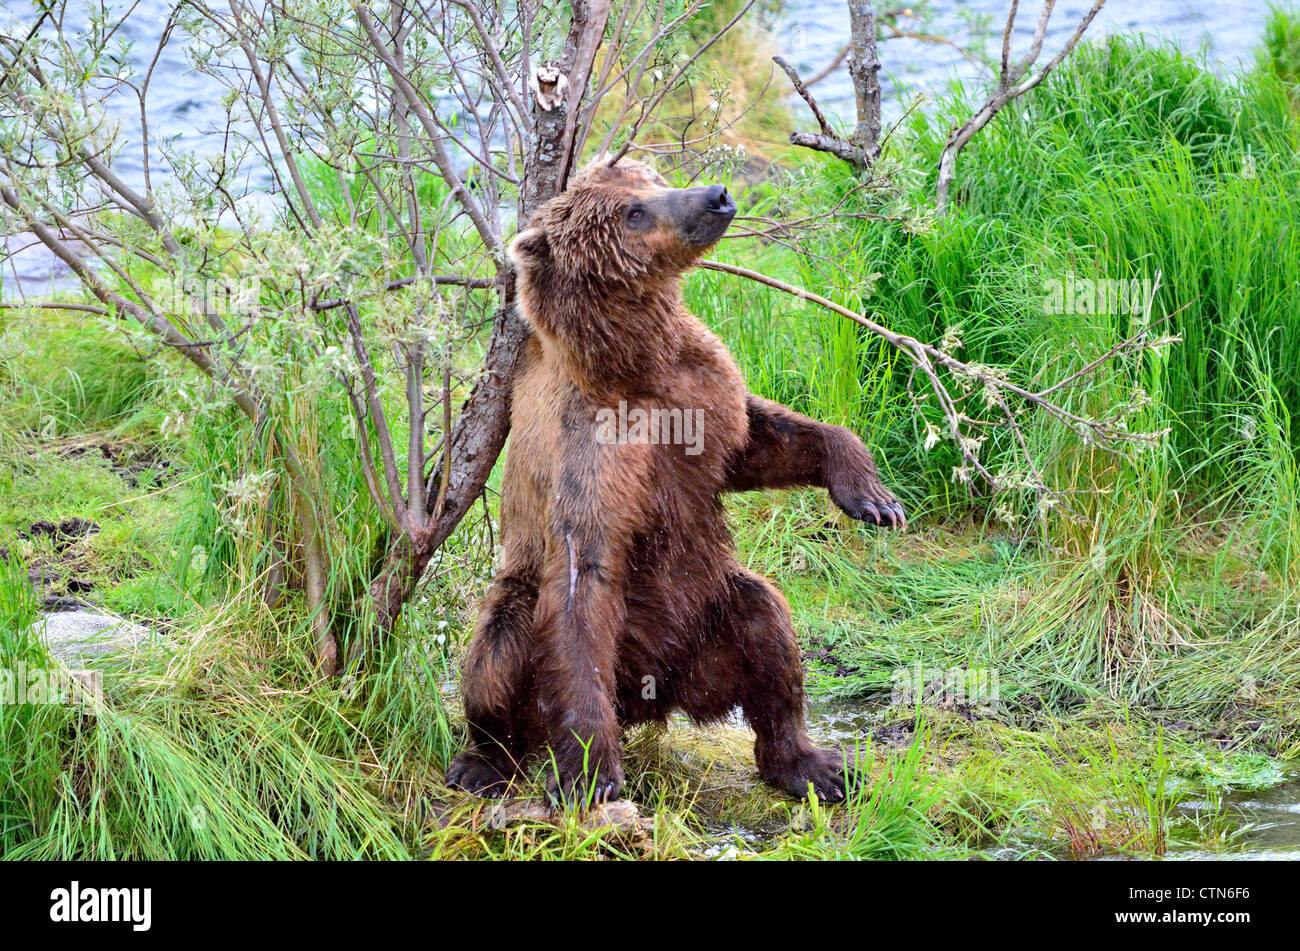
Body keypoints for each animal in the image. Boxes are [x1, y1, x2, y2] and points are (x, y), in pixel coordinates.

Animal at [447, 159, 904, 805]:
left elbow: (756, 440)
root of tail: (652, 697)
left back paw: (816, 765)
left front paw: (872, 495)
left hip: (712, 612)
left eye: (651, 179)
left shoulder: (702, 387)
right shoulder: (589, 444)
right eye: (633, 212)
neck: (636, 363)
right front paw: (591, 774)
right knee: (497, 649)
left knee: (770, 634)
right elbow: (583, 576)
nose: (716, 195)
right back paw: (483, 761)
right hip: (530, 609)